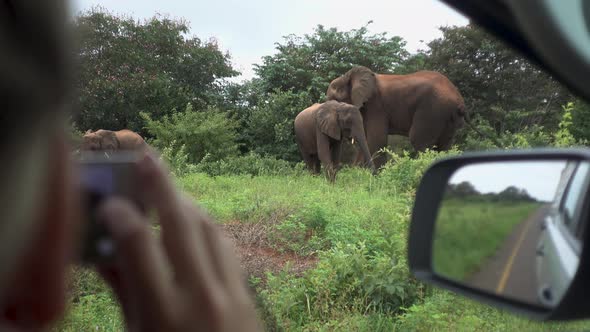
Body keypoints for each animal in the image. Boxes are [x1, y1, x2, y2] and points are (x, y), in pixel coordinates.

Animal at [326, 65, 470, 169]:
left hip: (433, 109)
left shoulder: (376, 106)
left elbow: (376, 139)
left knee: (419, 140)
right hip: (448, 118)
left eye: (335, 99)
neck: (348, 76)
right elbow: (367, 138)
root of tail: (460, 102)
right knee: (444, 146)